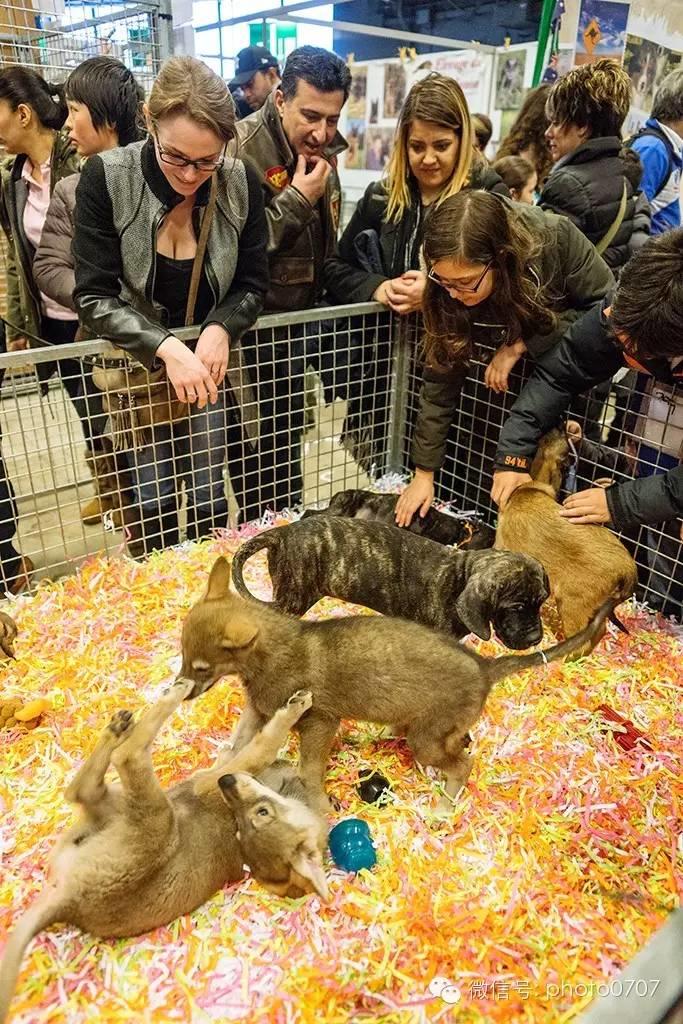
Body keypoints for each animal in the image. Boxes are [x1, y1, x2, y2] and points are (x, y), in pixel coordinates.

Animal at [0, 684, 327, 1024]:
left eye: (261, 813)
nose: (226, 782)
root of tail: (71, 901)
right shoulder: (224, 770)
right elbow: (249, 744)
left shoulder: (219, 777)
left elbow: (264, 744)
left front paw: (292, 709)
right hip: (113, 806)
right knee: (85, 786)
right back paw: (121, 726)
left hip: (155, 815)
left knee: (119, 763)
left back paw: (165, 700)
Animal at [179, 557, 618, 811]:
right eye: (182, 653)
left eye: (201, 667)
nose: (180, 690)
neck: (270, 655)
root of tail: (484, 665)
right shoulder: (258, 710)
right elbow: (237, 747)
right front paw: (212, 773)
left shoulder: (320, 722)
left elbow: (308, 771)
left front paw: (319, 805)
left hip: (427, 739)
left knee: (463, 763)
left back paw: (441, 811)